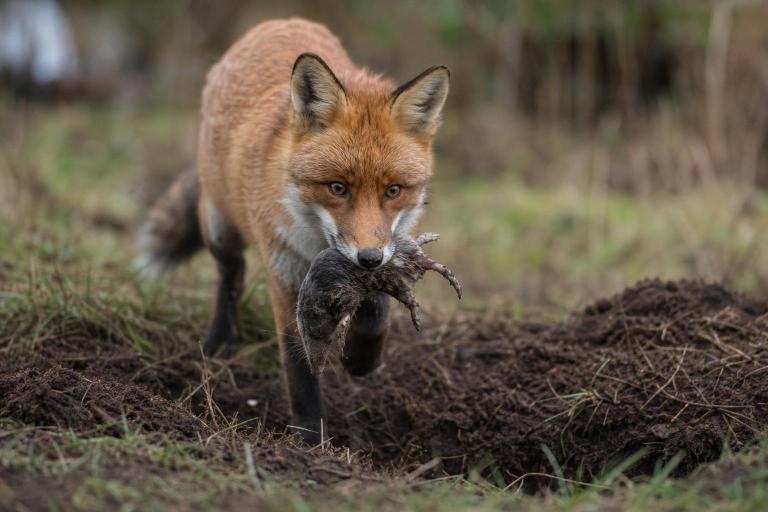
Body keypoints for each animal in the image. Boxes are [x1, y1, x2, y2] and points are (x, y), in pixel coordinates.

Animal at [137, 18, 450, 444]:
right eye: (337, 188)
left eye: (393, 190)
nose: (368, 259)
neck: (316, 247)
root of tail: (279, 22)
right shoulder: (285, 277)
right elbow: (298, 366)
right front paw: (308, 438)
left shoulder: (383, 255)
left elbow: (377, 311)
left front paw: (361, 359)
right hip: (219, 228)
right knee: (230, 276)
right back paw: (220, 342)